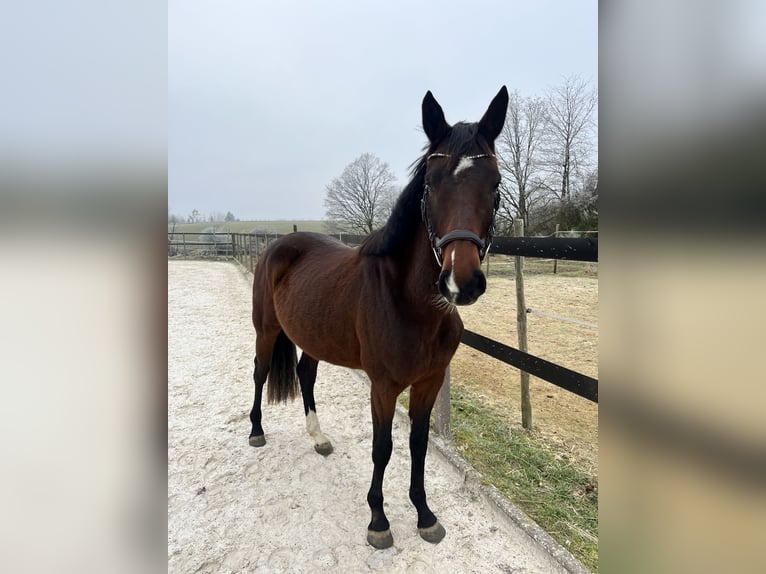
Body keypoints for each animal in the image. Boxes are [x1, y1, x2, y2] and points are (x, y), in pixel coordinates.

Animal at [248, 84, 510, 548]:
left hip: (313, 337)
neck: (412, 305)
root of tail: (276, 245)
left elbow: (418, 444)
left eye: (494, 184)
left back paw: (319, 438)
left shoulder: (429, 382)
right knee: (259, 373)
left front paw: (424, 514)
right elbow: (383, 447)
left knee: (305, 374)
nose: (461, 281)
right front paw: (378, 520)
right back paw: (256, 431)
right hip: (267, 329)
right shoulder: (384, 386)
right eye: (430, 183)